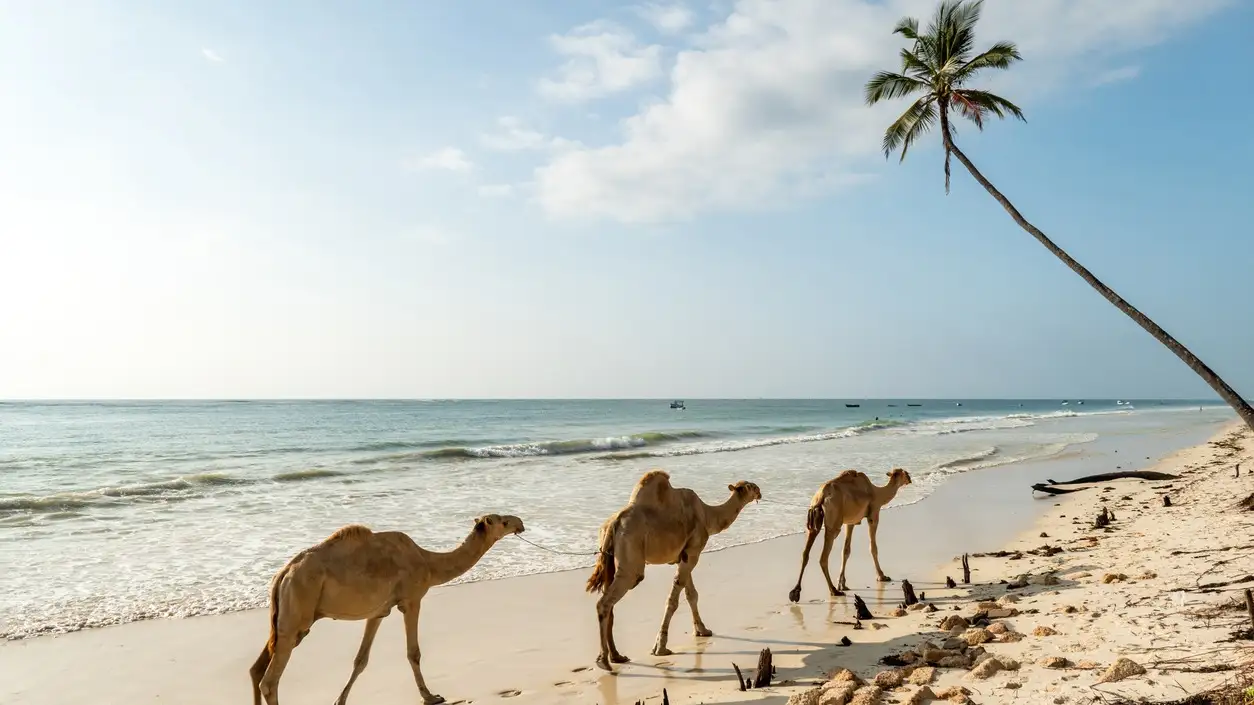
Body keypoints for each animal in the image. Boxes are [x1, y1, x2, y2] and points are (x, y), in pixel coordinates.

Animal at [249, 514, 525, 705]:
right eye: (502, 521)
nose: (519, 523)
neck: (428, 562)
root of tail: (282, 574)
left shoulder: (378, 612)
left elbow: (361, 659)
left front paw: (340, 700)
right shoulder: (412, 600)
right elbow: (414, 652)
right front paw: (430, 696)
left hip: (286, 619)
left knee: (256, 669)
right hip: (298, 610)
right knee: (270, 681)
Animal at [586, 470, 761, 671]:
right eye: (750, 486)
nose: (760, 492)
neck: (707, 515)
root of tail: (613, 524)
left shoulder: (684, 555)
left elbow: (691, 594)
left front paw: (702, 630)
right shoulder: (693, 551)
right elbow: (674, 600)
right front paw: (660, 648)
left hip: (608, 558)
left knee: (610, 604)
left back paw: (617, 656)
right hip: (631, 560)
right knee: (606, 601)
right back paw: (604, 661)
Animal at [788, 468, 912, 603]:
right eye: (905, 472)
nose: (910, 479)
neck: (877, 492)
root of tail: (821, 496)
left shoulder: (850, 522)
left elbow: (846, 551)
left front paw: (842, 584)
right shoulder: (873, 515)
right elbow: (873, 548)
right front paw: (882, 576)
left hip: (813, 521)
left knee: (805, 553)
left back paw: (795, 593)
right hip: (834, 523)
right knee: (823, 557)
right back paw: (834, 591)